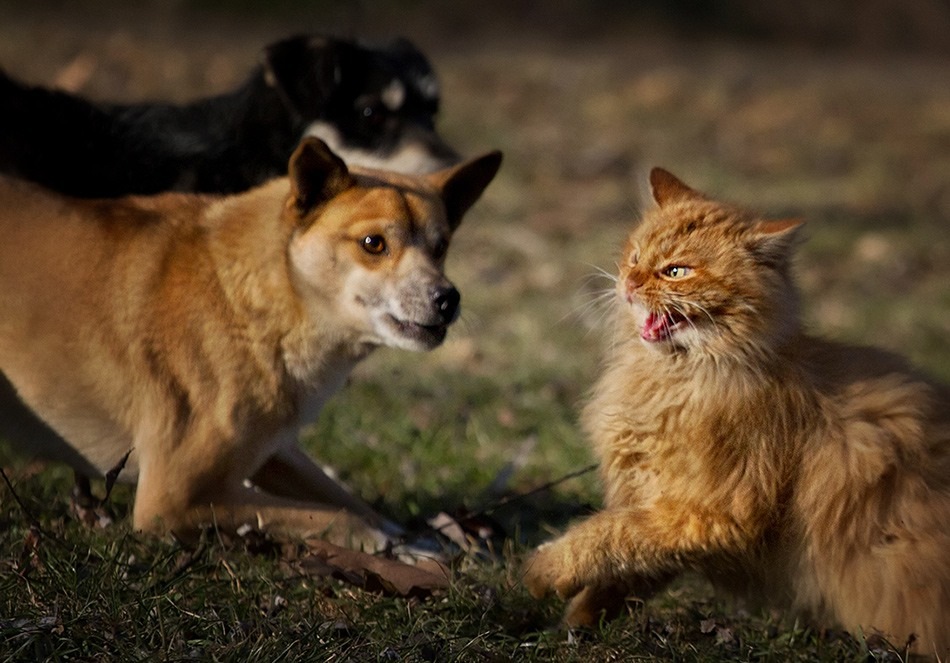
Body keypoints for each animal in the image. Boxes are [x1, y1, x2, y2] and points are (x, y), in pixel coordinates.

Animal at [0, 137, 502, 552]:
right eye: (373, 243)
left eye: (441, 247)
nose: (447, 299)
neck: (252, 301)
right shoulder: (168, 501)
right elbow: (329, 514)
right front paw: (388, 545)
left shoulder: (272, 447)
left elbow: (342, 497)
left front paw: (409, 536)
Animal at [524, 167, 950, 660]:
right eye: (634, 258)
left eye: (676, 272)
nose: (628, 284)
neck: (677, 378)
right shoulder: (664, 509)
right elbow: (619, 577)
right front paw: (570, 625)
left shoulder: (712, 513)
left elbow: (607, 535)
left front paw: (544, 569)